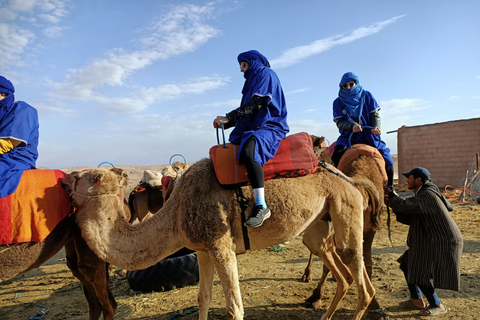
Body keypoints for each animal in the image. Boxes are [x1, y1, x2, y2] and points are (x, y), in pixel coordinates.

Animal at [64, 158, 378, 320]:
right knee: (344, 270)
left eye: (91, 177)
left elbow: (234, 308)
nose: (66, 178)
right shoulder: (203, 249)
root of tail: (350, 179)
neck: (176, 212)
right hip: (320, 224)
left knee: (359, 278)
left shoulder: (221, 246)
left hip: (345, 206)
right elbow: (203, 298)